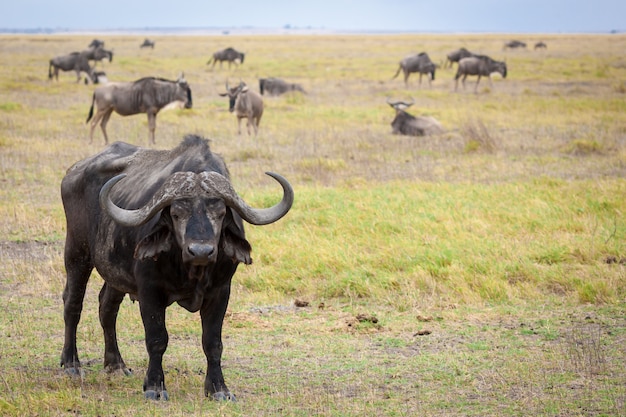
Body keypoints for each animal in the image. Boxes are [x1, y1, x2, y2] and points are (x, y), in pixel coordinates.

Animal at [58, 133, 292, 400]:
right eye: (177, 213)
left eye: (220, 213)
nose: (200, 251)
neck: (193, 272)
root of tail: (74, 172)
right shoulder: (149, 291)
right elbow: (157, 338)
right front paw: (154, 387)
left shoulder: (221, 291)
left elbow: (213, 342)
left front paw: (219, 389)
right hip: (77, 252)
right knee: (73, 303)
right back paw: (71, 363)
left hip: (114, 272)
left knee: (107, 307)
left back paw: (116, 365)